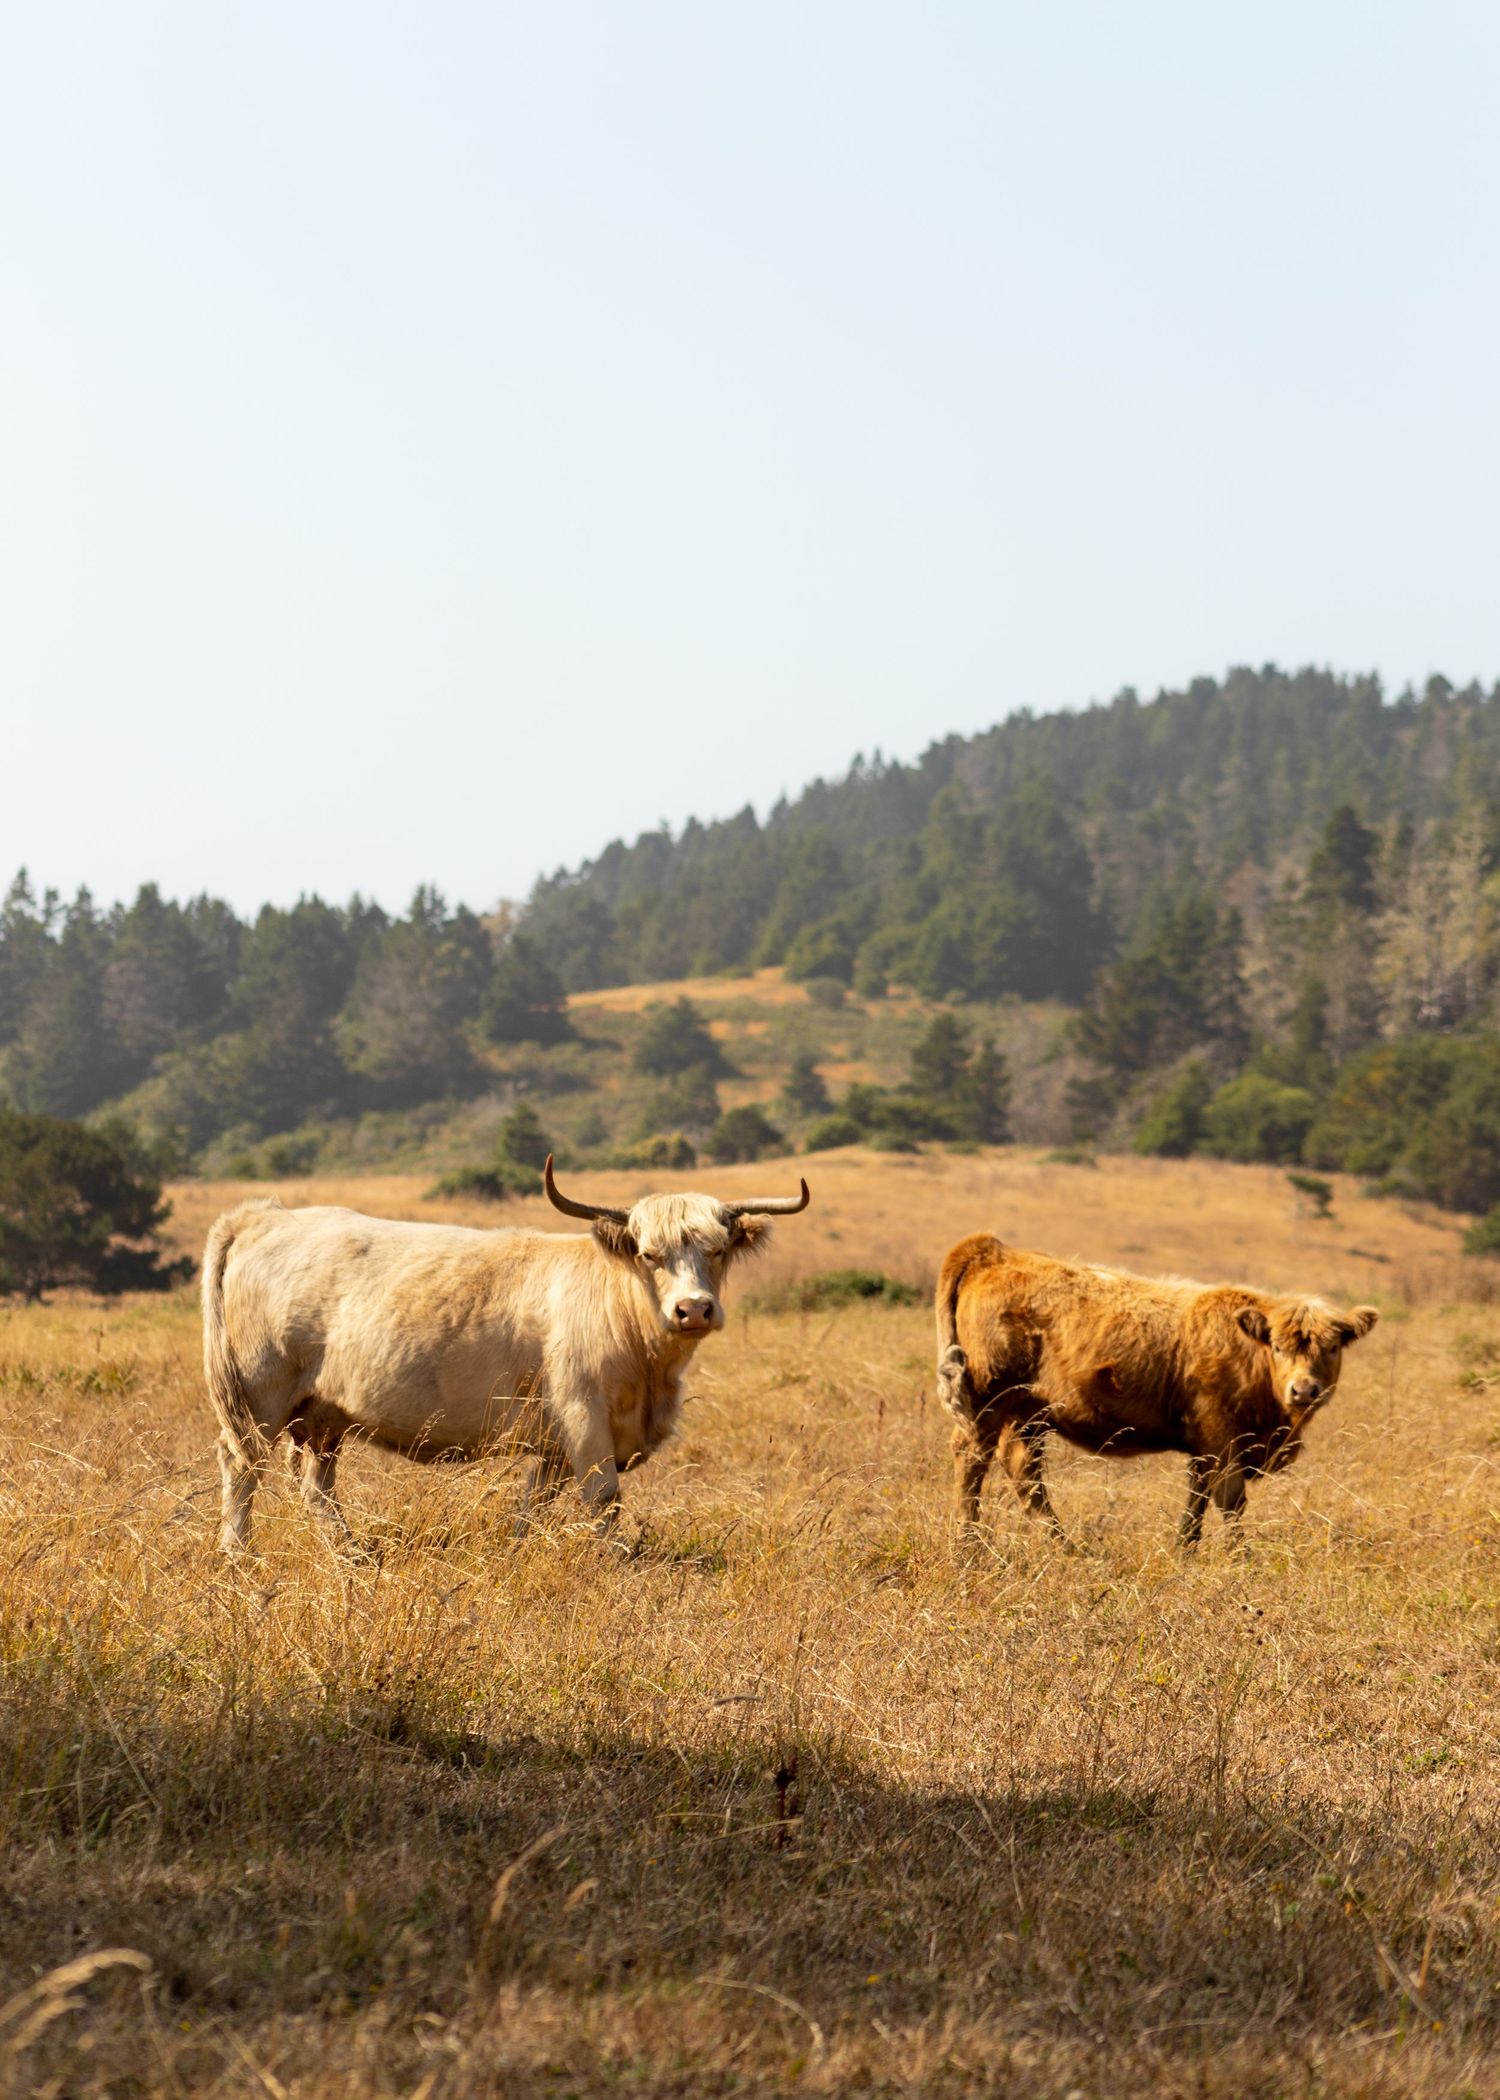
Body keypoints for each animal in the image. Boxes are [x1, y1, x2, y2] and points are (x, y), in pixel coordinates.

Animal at [203, 1157, 809, 1557]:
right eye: (648, 1254)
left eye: (718, 1250)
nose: (693, 1309)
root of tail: (263, 1217)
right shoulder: (583, 1416)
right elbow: (603, 1497)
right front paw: (616, 1562)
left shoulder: (556, 1442)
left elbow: (532, 1504)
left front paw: (516, 1552)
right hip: (257, 1399)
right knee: (242, 1468)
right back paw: (239, 1556)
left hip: (324, 1415)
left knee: (316, 1486)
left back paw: (350, 1555)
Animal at [934, 1232, 1378, 1549]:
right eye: (1279, 1346)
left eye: (1332, 1347)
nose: (1304, 1390)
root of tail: (993, 1251)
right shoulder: (1221, 1437)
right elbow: (1229, 1498)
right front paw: (1240, 1555)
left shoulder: (1207, 1446)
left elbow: (1197, 1497)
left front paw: (1185, 1548)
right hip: (988, 1400)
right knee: (972, 1460)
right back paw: (968, 1544)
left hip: (1027, 1412)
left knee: (1024, 1472)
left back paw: (1064, 1546)